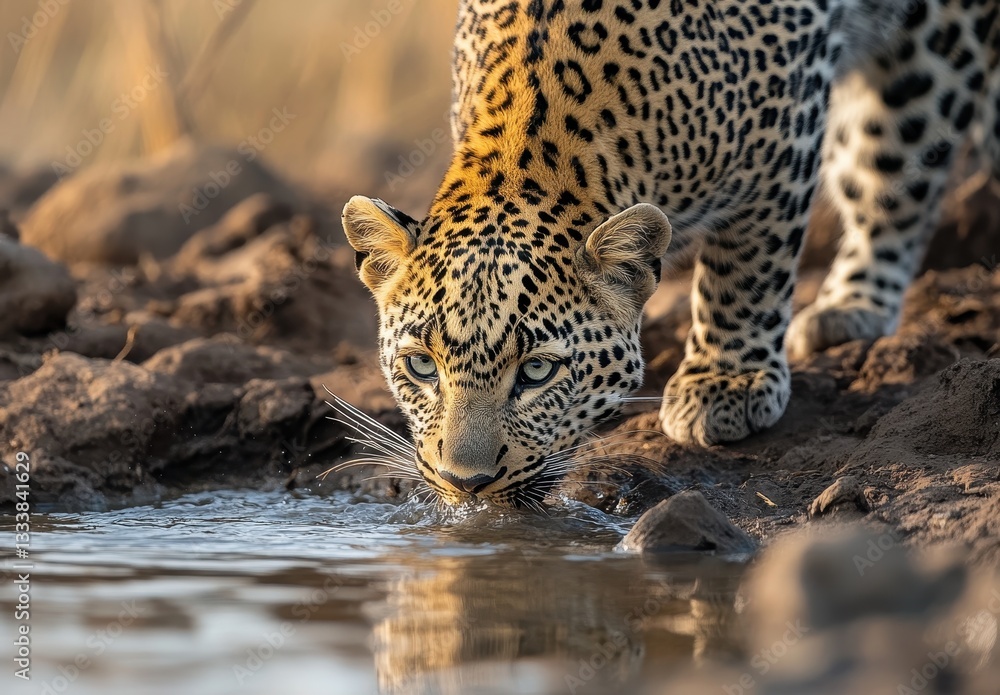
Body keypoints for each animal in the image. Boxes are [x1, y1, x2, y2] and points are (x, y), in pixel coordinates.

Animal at [342, 0, 1000, 506]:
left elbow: (748, 266)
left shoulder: (783, 134)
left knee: (893, 173)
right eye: (420, 367)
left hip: (926, 55)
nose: (466, 483)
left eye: (537, 372)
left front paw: (727, 384)